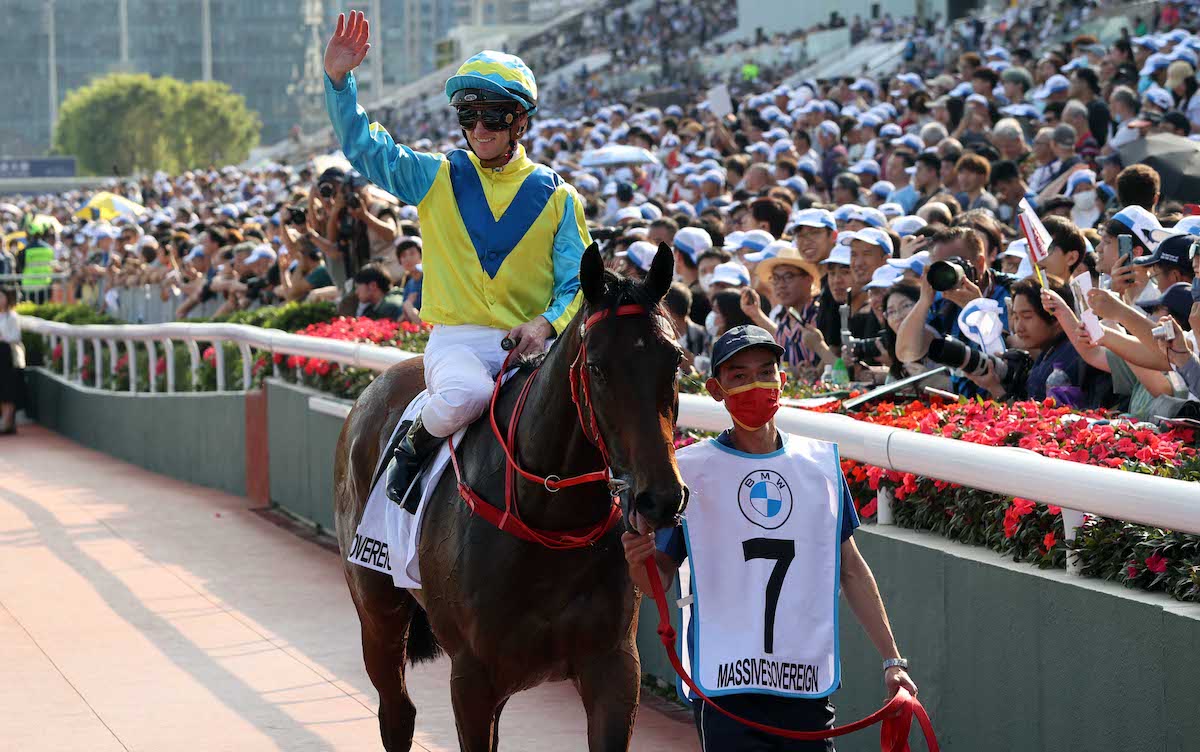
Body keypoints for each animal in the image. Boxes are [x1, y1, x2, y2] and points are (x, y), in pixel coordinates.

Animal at [333, 244, 691, 748]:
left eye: (674, 360)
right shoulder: (473, 676)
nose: (659, 498)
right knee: (397, 712)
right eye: (597, 367)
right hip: (376, 608)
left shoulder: (615, 667)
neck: (552, 522)